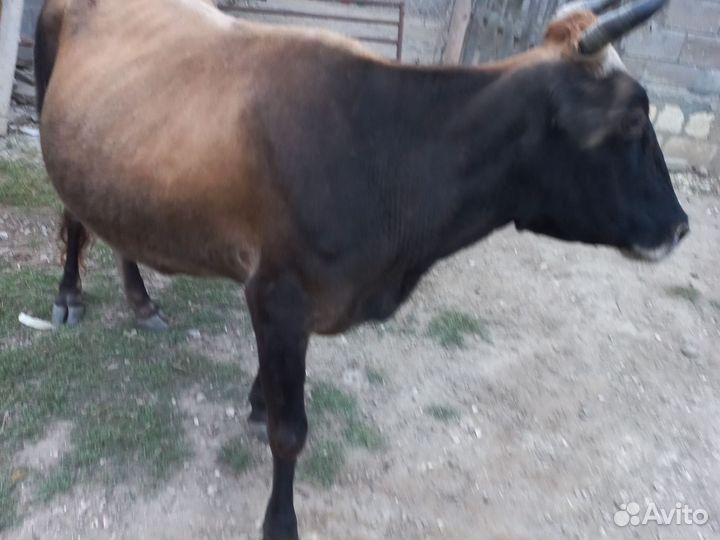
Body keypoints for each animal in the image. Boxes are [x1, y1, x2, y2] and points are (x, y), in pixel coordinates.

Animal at [34, 0, 687, 538]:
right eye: (632, 120)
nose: (680, 227)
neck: (386, 150)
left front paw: (256, 400)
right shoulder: (278, 292)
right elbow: (290, 432)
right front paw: (280, 522)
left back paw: (140, 297)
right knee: (74, 218)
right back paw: (69, 296)